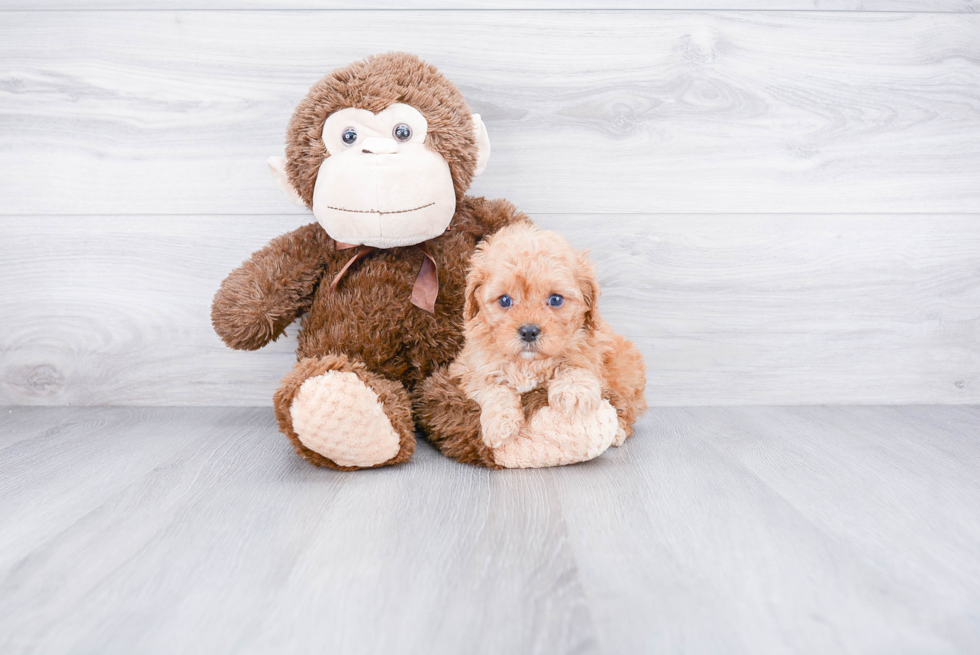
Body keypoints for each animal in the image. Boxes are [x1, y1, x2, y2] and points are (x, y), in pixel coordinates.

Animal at [448, 223, 648, 454]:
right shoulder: (470, 369)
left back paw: (618, 431)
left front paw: (573, 393)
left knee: (625, 410)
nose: (528, 331)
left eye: (556, 299)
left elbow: (575, 365)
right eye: (505, 300)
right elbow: (493, 388)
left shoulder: (590, 349)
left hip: (626, 370)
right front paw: (501, 423)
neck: (528, 363)